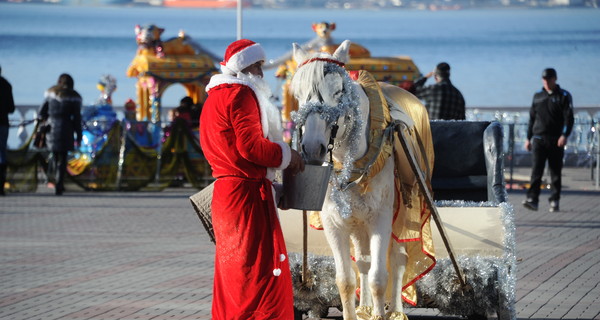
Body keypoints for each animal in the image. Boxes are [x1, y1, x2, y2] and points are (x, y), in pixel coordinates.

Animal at [290, 40, 436, 320]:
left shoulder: (381, 218)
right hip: (358, 223)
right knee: (363, 259)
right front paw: (356, 310)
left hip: (404, 211)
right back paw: (365, 307)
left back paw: (395, 311)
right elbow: (346, 280)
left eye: (338, 92)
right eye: (298, 94)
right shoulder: (335, 223)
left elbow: (380, 278)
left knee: (398, 259)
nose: (312, 147)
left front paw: (382, 312)